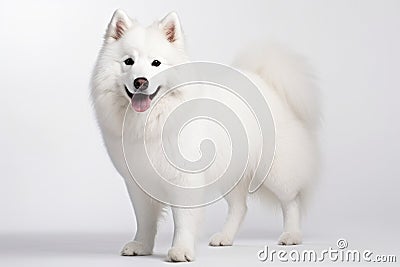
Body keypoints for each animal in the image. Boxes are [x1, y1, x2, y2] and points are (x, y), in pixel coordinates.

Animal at [90, 9, 318, 262]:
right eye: (128, 61)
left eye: (156, 63)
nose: (141, 81)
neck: (151, 121)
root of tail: (264, 81)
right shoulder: (139, 182)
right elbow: (145, 220)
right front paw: (141, 245)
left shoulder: (185, 180)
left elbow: (183, 221)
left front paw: (181, 250)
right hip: (230, 173)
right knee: (240, 207)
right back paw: (225, 237)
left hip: (275, 171)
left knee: (291, 201)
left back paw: (291, 235)